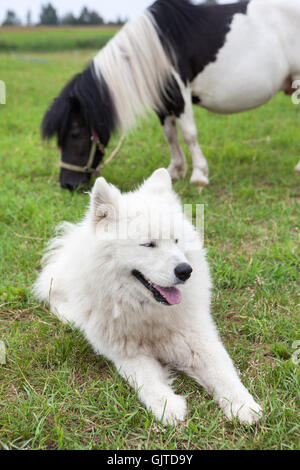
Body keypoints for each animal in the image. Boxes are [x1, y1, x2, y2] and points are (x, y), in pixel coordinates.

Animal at [33, 169, 262, 426]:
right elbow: (147, 380)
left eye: (176, 240)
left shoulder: (199, 338)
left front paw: (243, 405)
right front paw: (167, 405)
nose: (186, 270)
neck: (148, 312)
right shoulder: (128, 353)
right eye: (148, 244)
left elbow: (224, 372)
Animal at [41, 0, 300, 191]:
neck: (156, 48)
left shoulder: (180, 94)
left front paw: (199, 175)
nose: (67, 184)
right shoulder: (163, 101)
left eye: (75, 133)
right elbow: (170, 135)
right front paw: (174, 171)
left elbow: (188, 134)